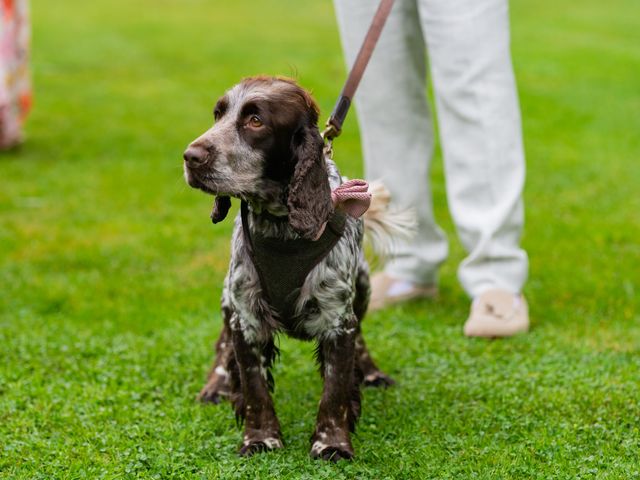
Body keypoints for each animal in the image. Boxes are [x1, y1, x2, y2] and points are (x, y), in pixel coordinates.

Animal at [181, 77, 410, 460]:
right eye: (218, 114)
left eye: (255, 120)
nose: (191, 156)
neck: (282, 226)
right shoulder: (246, 316)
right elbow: (254, 386)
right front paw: (260, 439)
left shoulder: (338, 320)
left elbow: (335, 390)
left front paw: (332, 444)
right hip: (228, 298)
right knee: (221, 344)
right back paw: (216, 385)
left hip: (362, 286)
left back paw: (372, 373)